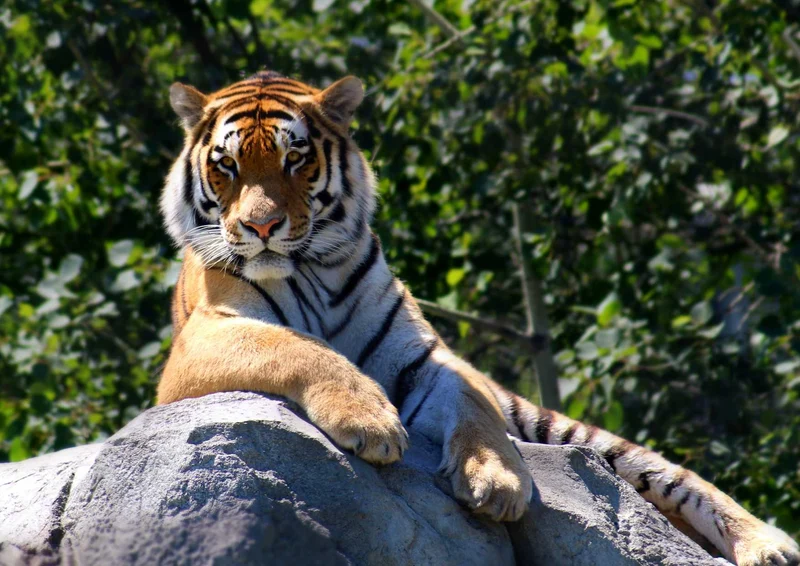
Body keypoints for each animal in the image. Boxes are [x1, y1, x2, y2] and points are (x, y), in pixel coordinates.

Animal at [157, 70, 799, 566]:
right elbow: (298, 347)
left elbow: (473, 405)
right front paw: (370, 422)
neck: (312, 268)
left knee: (674, 477)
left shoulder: (427, 357)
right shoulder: (203, 340)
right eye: (227, 166)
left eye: (295, 159)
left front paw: (498, 482)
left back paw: (768, 545)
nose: (261, 226)